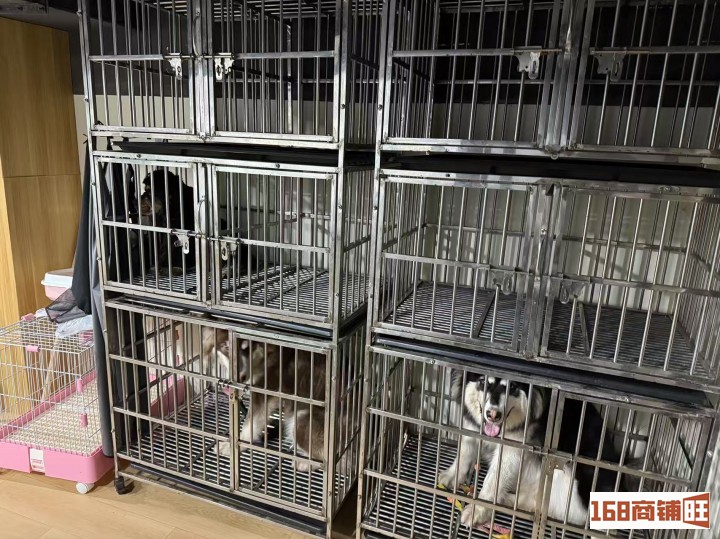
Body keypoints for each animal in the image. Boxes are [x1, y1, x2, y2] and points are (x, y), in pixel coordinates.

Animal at [439, 372, 635, 528]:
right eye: (482, 381)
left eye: (513, 387)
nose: (493, 415)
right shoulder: (471, 429)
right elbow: (464, 453)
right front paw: (452, 475)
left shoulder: (513, 448)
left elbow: (493, 481)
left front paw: (478, 509)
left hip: (568, 473)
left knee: (557, 509)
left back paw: (506, 501)